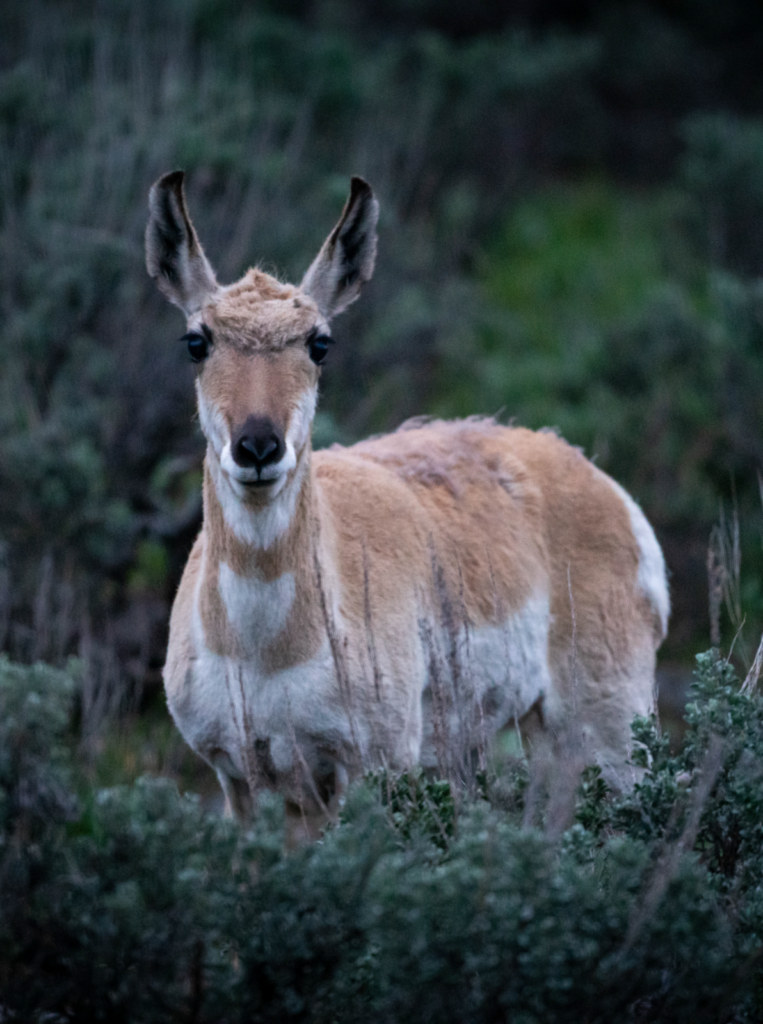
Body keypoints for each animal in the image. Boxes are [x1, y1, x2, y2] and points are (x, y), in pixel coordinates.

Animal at [144, 172, 667, 835]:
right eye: (196, 341)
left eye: (319, 343)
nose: (258, 446)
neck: (264, 651)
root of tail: (587, 471)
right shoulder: (245, 782)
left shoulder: (376, 767)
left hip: (607, 728)